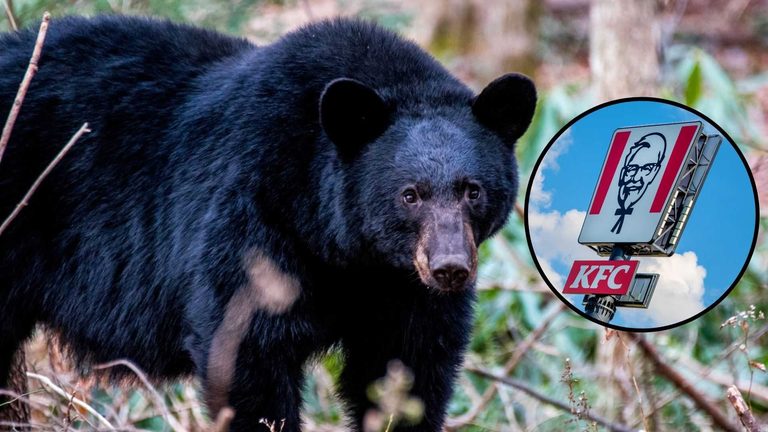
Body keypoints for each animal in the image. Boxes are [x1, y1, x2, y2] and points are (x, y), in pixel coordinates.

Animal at [0, 15, 536, 431]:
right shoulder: (250, 221)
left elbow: (409, 367)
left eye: (472, 190)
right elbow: (246, 354)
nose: (450, 268)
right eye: (409, 195)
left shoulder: (403, 289)